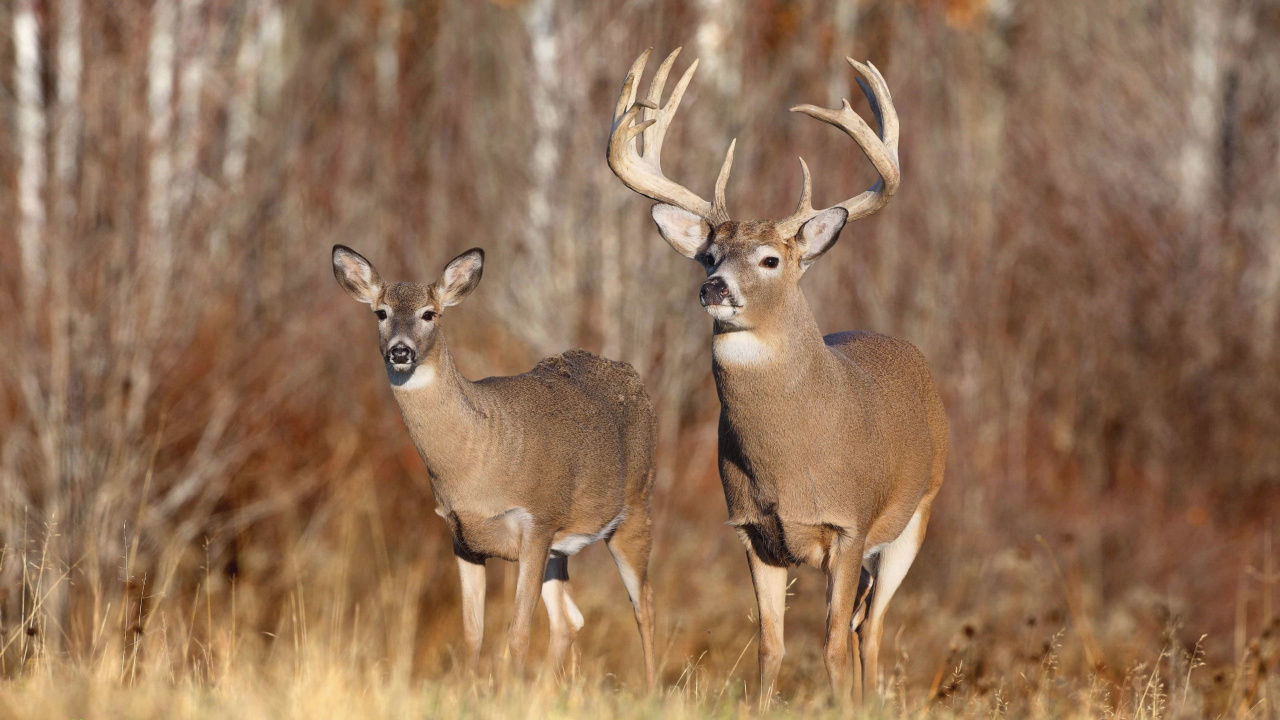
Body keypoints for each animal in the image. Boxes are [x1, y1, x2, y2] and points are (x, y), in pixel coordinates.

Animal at [331, 245, 658, 689]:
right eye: (381, 312)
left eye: (429, 314)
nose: (400, 351)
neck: (476, 463)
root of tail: (634, 378)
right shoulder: (462, 537)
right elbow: (473, 630)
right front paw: (471, 691)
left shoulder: (536, 522)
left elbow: (517, 631)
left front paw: (507, 691)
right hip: (561, 546)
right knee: (569, 619)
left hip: (635, 506)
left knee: (644, 604)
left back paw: (653, 689)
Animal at [606, 49, 947, 705]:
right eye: (709, 256)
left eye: (770, 260)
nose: (714, 288)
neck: (789, 464)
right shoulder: (752, 531)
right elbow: (771, 646)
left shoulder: (848, 524)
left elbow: (832, 645)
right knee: (865, 622)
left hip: (915, 516)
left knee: (871, 629)